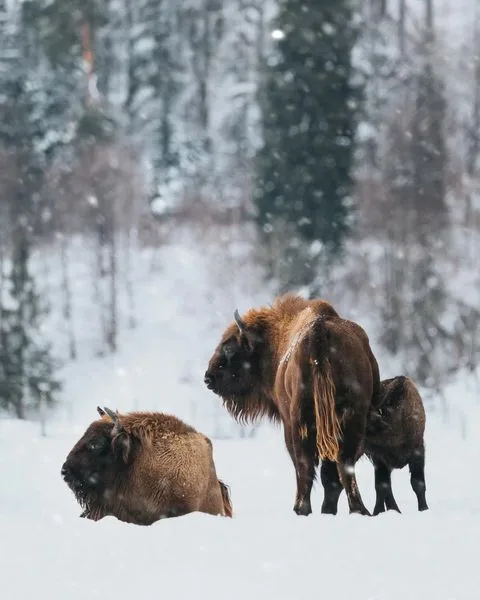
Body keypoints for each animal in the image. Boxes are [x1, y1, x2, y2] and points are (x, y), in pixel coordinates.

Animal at [204, 294, 380, 516]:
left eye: (230, 348)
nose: (208, 377)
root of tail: (319, 333)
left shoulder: (288, 423)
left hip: (300, 423)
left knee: (307, 466)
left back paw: (301, 508)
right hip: (348, 421)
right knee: (340, 466)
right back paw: (354, 509)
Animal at [366, 378, 430, 512]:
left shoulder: (418, 451)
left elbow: (418, 483)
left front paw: (424, 509)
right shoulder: (380, 458)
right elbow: (382, 486)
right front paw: (379, 512)